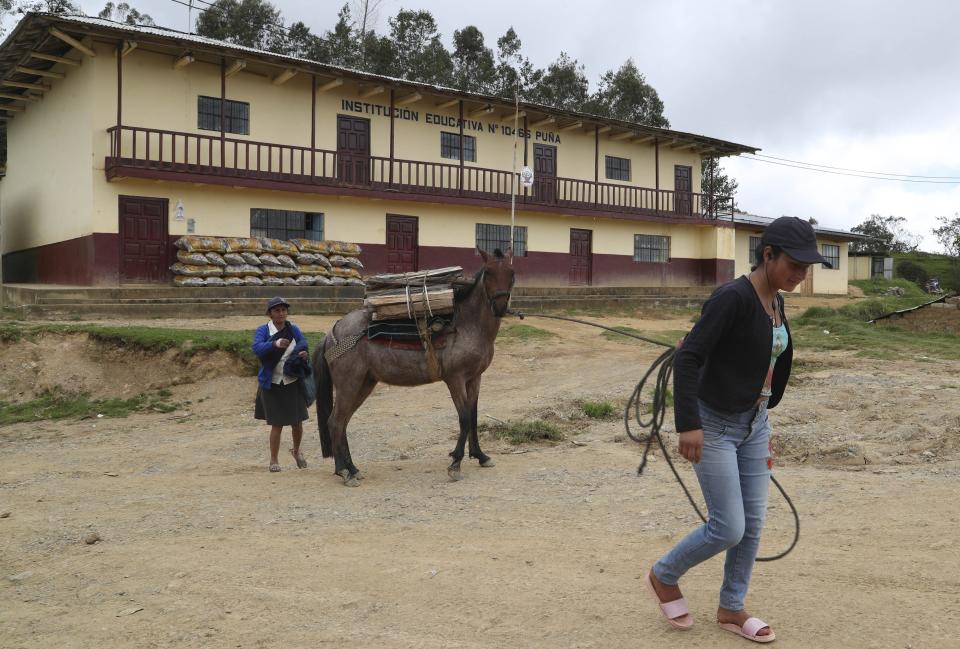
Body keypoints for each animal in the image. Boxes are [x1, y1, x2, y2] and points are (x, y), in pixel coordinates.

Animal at [312, 248, 512, 486]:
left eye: (511, 272)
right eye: (488, 272)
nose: (500, 307)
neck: (467, 325)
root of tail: (332, 331)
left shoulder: (475, 378)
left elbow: (473, 416)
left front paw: (480, 455)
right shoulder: (455, 379)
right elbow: (464, 418)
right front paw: (455, 463)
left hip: (364, 383)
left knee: (343, 421)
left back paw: (352, 468)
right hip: (348, 384)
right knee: (335, 421)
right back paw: (343, 470)